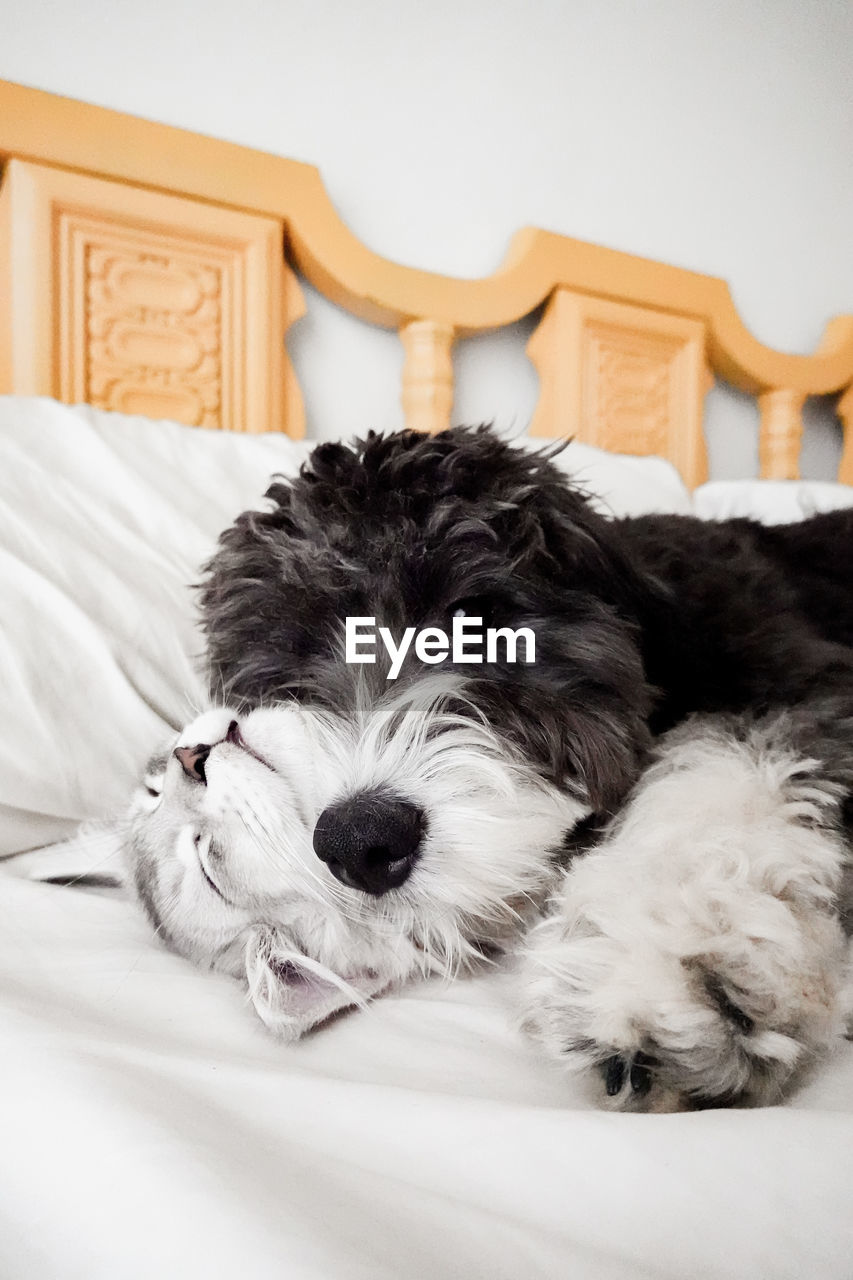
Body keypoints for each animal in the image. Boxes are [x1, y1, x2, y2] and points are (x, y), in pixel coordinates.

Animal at [124, 424, 850, 1105]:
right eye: (281, 673)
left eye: (473, 618)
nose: (360, 840)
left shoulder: (806, 680)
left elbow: (733, 764)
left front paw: (669, 968)